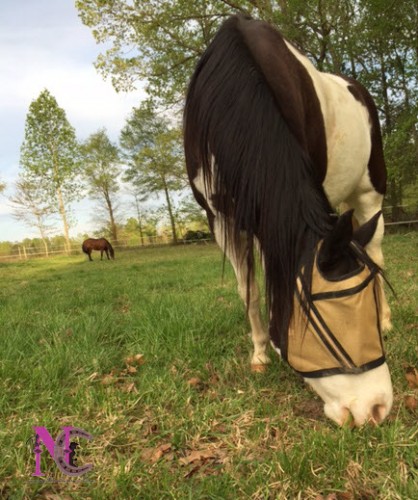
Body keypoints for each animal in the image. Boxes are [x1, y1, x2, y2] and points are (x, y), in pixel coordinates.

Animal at [185, 15, 394, 426]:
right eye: (325, 317)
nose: (377, 408)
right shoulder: (221, 219)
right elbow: (250, 289)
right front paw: (260, 353)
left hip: (369, 193)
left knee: (375, 251)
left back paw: (387, 321)